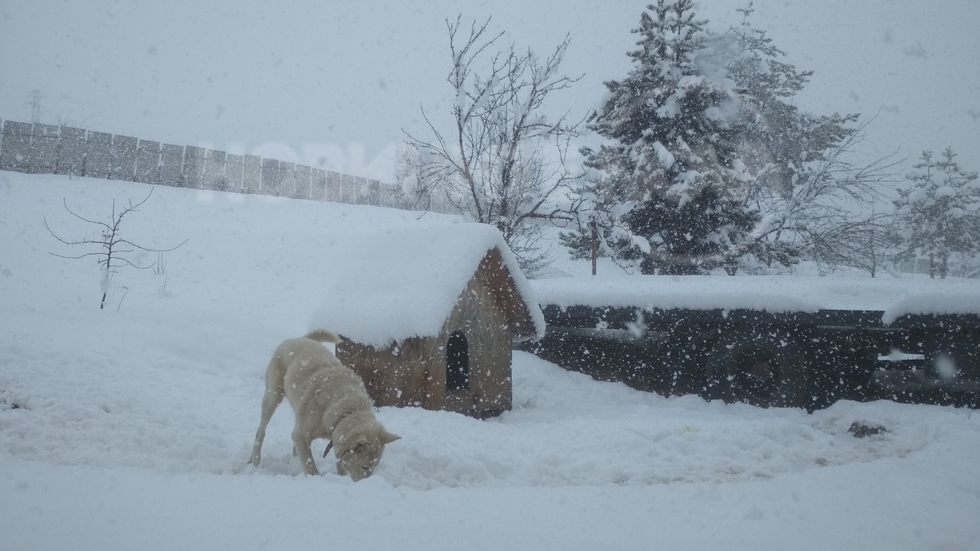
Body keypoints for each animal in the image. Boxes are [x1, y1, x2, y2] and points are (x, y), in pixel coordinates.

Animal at [251, 330, 400, 480]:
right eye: (365, 466)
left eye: (375, 466)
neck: (346, 407)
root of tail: (298, 339)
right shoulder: (302, 436)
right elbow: (310, 466)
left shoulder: (335, 439)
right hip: (273, 396)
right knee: (261, 430)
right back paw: (255, 459)